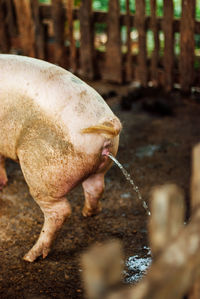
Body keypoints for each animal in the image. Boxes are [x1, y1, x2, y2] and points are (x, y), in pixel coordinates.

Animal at [0, 54, 121, 262]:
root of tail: (105, 122)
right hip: (100, 165)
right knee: (96, 187)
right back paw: (88, 213)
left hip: (40, 170)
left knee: (60, 211)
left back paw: (30, 256)